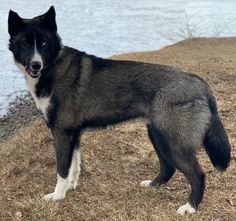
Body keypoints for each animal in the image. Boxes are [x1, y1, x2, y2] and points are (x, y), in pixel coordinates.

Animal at [7, 6, 230, 215]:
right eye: (25, 43)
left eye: (44, 43)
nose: (36, 64)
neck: (54, 65)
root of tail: (200, 83)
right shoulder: (73, 133)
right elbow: (74, 167)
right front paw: (70, 188)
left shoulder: (62, 133)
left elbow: (62, 169)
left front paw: (58, 196)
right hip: (157, 135)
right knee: (168, 167)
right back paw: (153, 185)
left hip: (175, 143)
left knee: (197, 175)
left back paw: (190, 207)